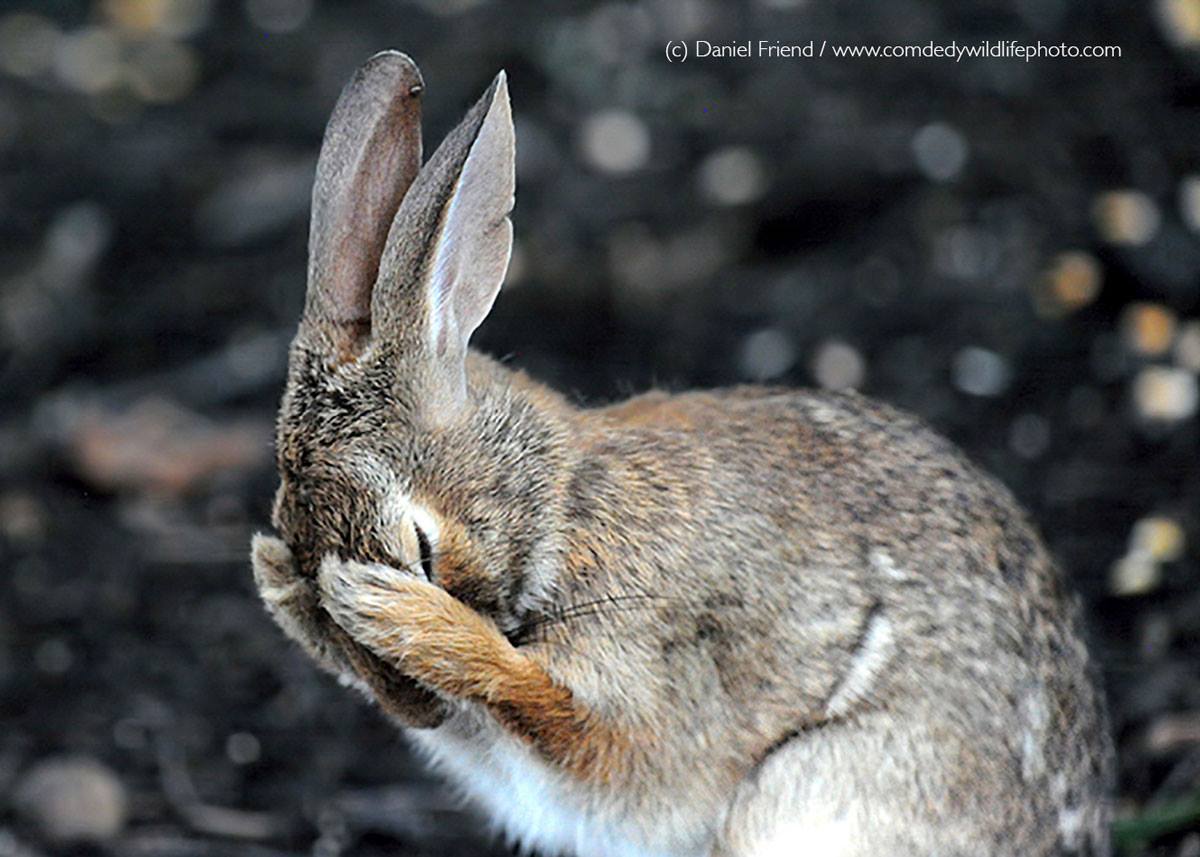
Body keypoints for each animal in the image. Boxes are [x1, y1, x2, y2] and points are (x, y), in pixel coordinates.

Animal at [250, 50, 1113, 849]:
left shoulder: (648, 678)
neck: (560, 505)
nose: (417, 709)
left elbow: (573, 721)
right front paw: (276, 580)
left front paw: (402, 615)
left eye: (420, 546)